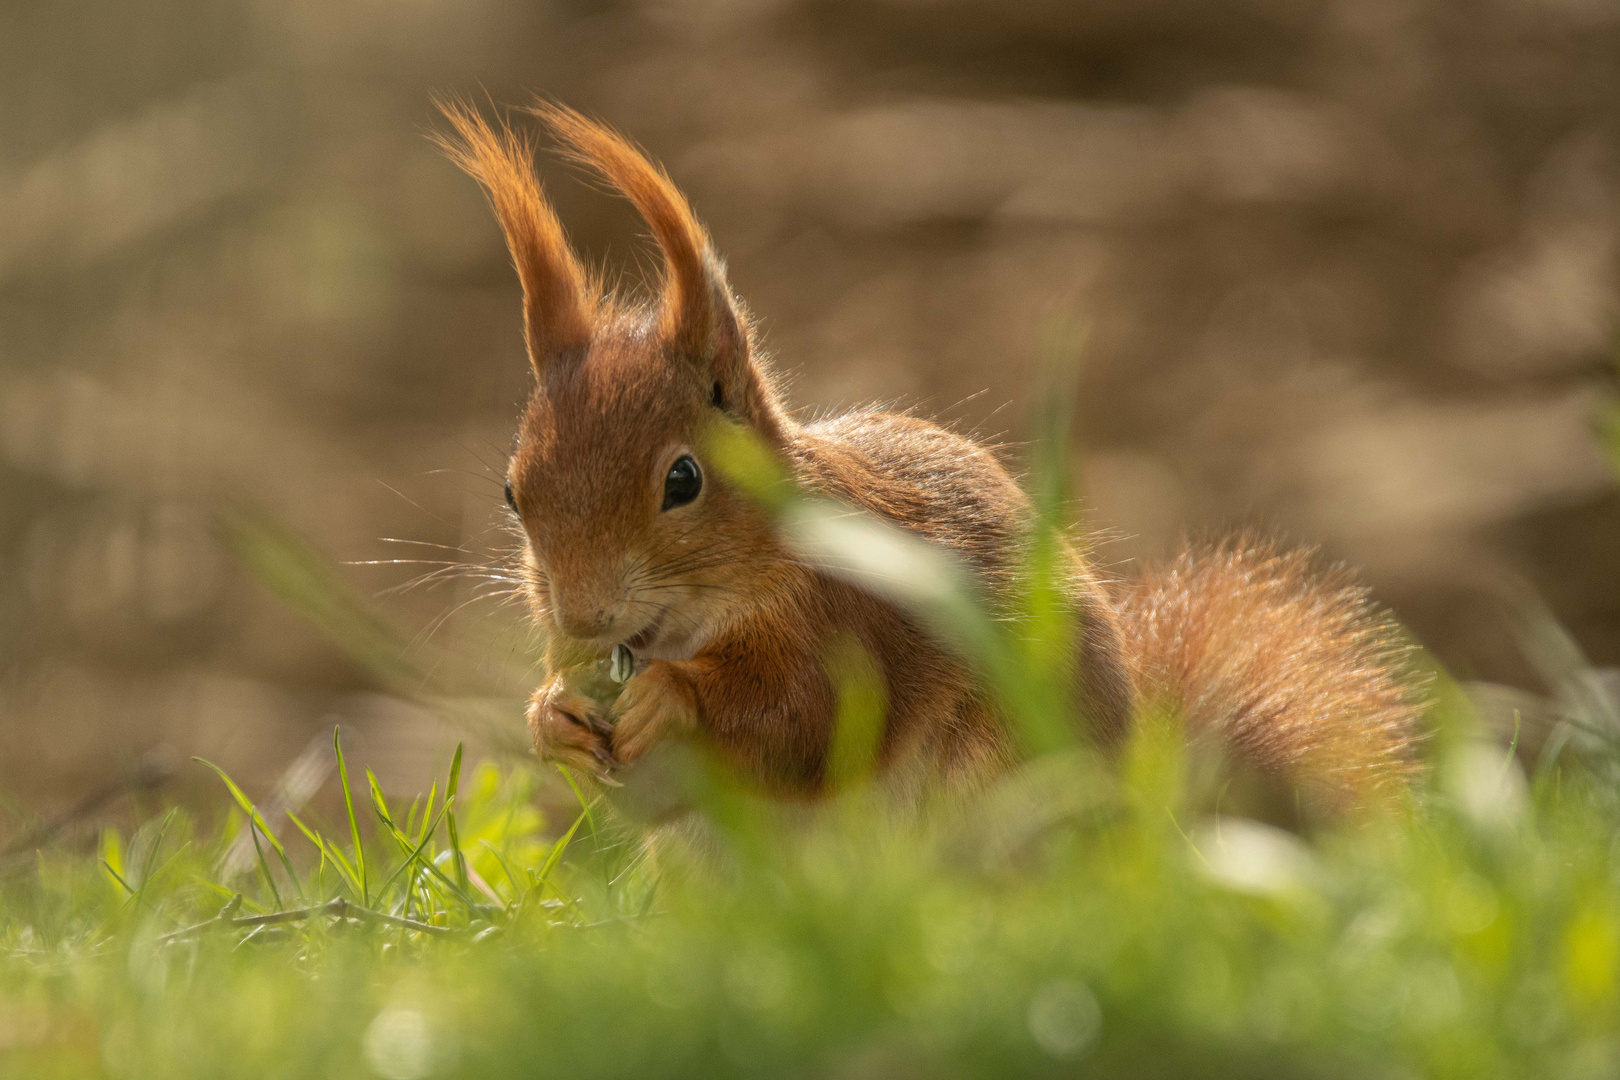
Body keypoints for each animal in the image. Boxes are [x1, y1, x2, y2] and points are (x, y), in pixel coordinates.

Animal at [430, 103, 1419, 809]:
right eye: (512, 492)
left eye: (683, 479)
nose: (582, 615)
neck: (705, 615)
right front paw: (550, 717)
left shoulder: (853, 616)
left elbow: (810, 720)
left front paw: (675, 699)